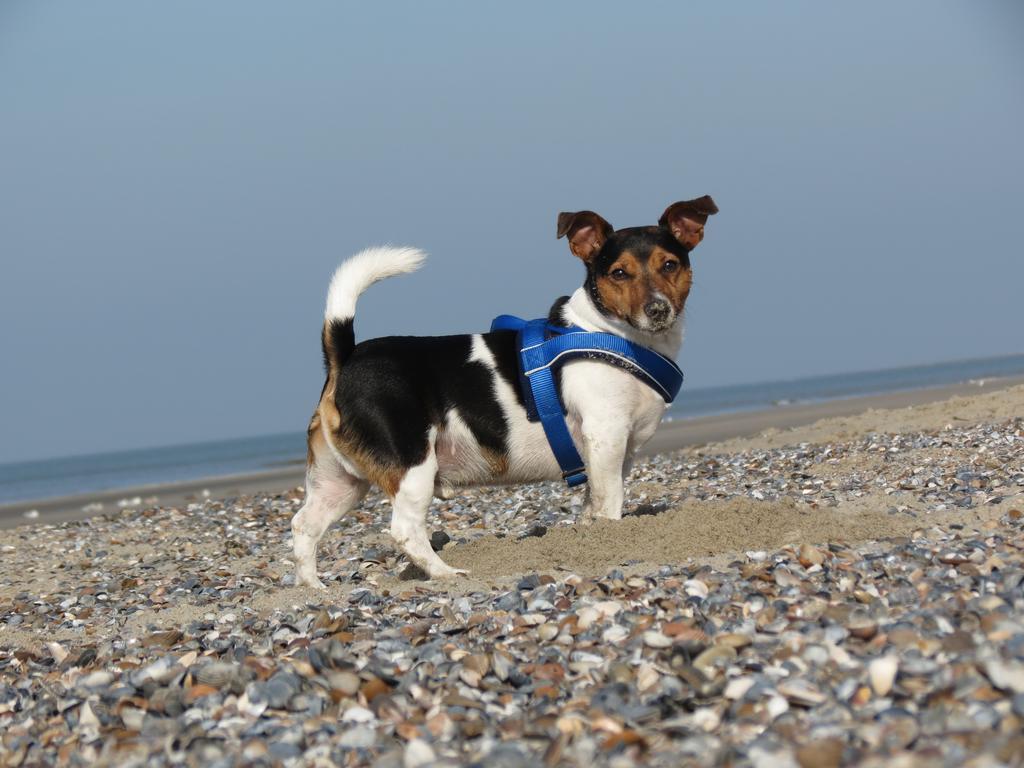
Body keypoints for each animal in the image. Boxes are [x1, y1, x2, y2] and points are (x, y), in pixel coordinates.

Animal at [292, 198, 716, 589]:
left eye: (669, 265)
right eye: (619, 273)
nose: (658, 310)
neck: (613, 336)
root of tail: (345, 355)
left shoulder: (616, 452)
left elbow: (593, 504)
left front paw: (591, 535)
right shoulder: (607, 438)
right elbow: (610, 503)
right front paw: (612, 537)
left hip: (340, 482)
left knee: (303, 525)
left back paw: (315, 589)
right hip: (413, 467)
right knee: (404, 530)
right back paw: (447, 573)